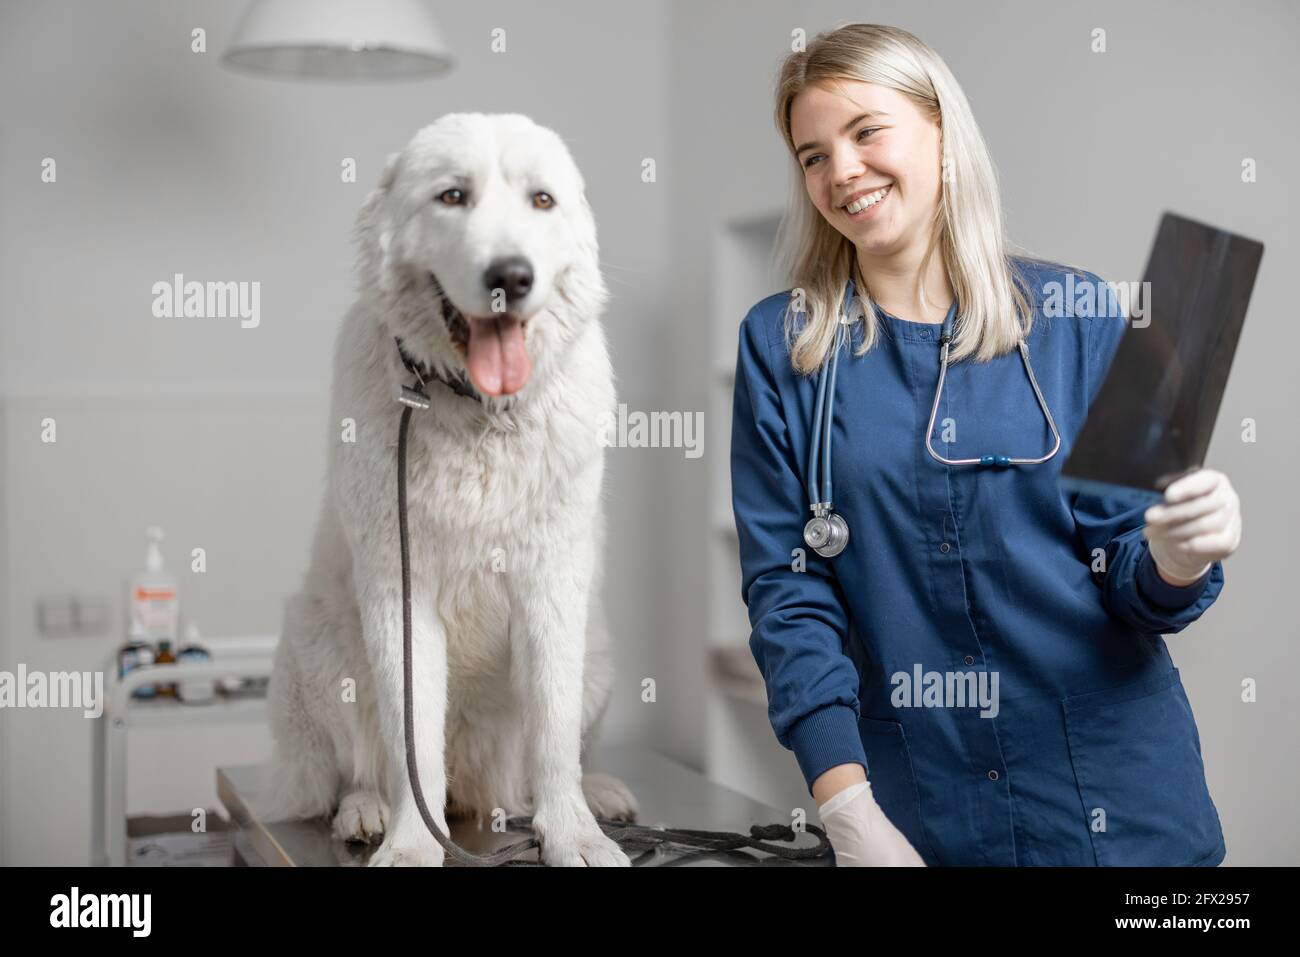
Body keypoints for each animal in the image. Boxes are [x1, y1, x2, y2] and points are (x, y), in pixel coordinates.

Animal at [257, 113, 634, 868]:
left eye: (541, 200)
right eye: (453, 196)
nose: (510, 276)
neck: (478, 412)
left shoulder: (553, 583)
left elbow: (554, 733)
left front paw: (574, 834)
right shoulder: (400, 590)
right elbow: (412, 749)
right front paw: (409, 845)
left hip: (598, 648)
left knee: (543, 765)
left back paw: (591, 794)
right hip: (317, 642)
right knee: (352, 768)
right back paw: (364, 811)